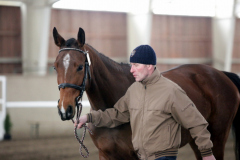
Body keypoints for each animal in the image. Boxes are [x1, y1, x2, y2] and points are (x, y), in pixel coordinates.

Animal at [52, 27, 240, 160]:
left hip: (218, 136)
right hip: (197, 140)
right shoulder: (106, 155)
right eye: (55, 67)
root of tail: (221, 74)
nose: (64, 110)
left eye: (80, 66)